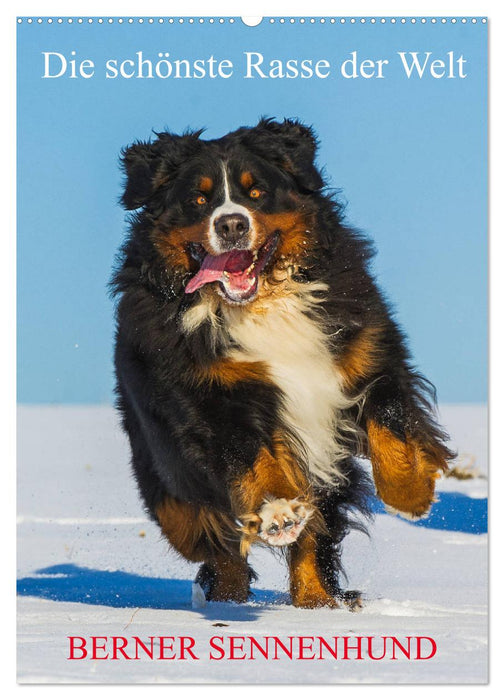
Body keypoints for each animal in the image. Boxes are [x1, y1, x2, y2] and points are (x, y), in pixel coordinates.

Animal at [111, 119, 452, 608]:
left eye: (256, 192)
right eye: (199, 199)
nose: (231, 224)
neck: (264, 305)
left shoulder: (365, 354)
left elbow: (393, 427)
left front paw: (413, 497)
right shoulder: (221, 401)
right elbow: (260, 466)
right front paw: (278, 515)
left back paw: (315, 603)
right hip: (165, 467)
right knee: (202, 534)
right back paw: (229, 595)